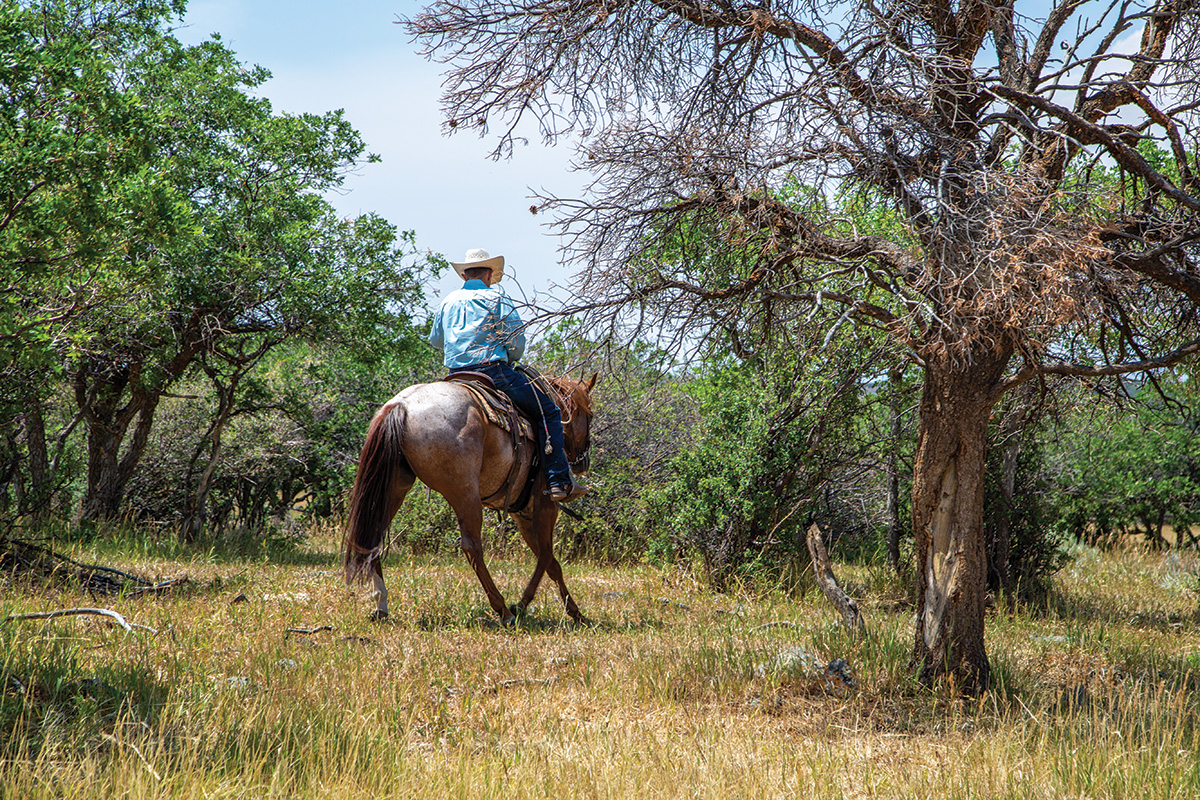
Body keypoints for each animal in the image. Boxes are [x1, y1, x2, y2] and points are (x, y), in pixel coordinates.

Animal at [343, 374, 595, 623]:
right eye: (590, 415)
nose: (583, 461)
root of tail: (401, 406)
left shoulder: (523, 514)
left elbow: (551, 562)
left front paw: (574, 611)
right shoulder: (546, 506)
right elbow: (546, 556)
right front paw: (523, 604)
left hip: (394, 486)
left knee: (373, 536)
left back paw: (381, 605)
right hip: (465, 493)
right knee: (472, 546)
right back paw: (503, 610)